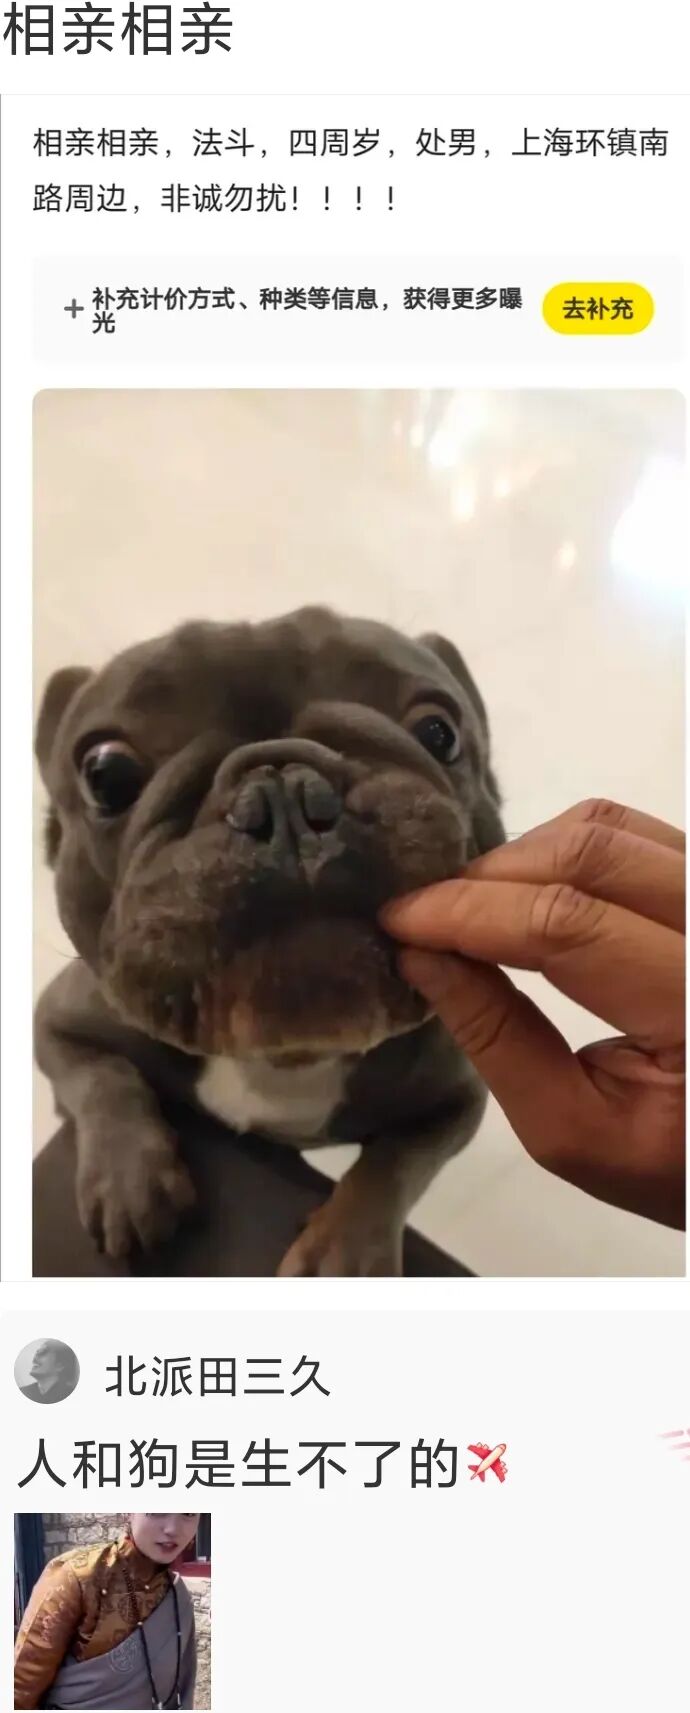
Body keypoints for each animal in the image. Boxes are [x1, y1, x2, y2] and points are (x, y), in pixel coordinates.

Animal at [35, 606, 505, 1274]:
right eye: (105, 775)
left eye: (439, 732)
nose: (285, 792)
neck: (285, 1053)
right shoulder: (58, 1019)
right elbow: (99, 1079)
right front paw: (128, 1179)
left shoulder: (456, 1100)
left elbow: (398, 1166)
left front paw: (349, 1251)